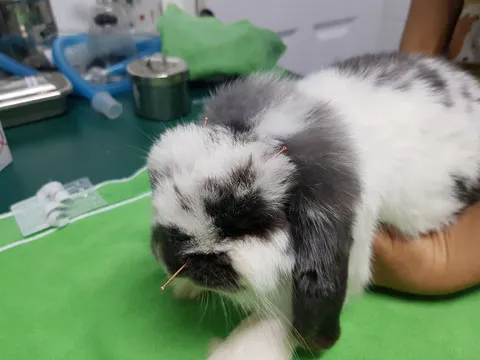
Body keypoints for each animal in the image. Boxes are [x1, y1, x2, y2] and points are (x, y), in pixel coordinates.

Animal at [145, 52, 480, 360]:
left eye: (247, 222)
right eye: (156, 181)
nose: (173, 260)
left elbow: (281, 315)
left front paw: (237, 352)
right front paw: (185, 288)